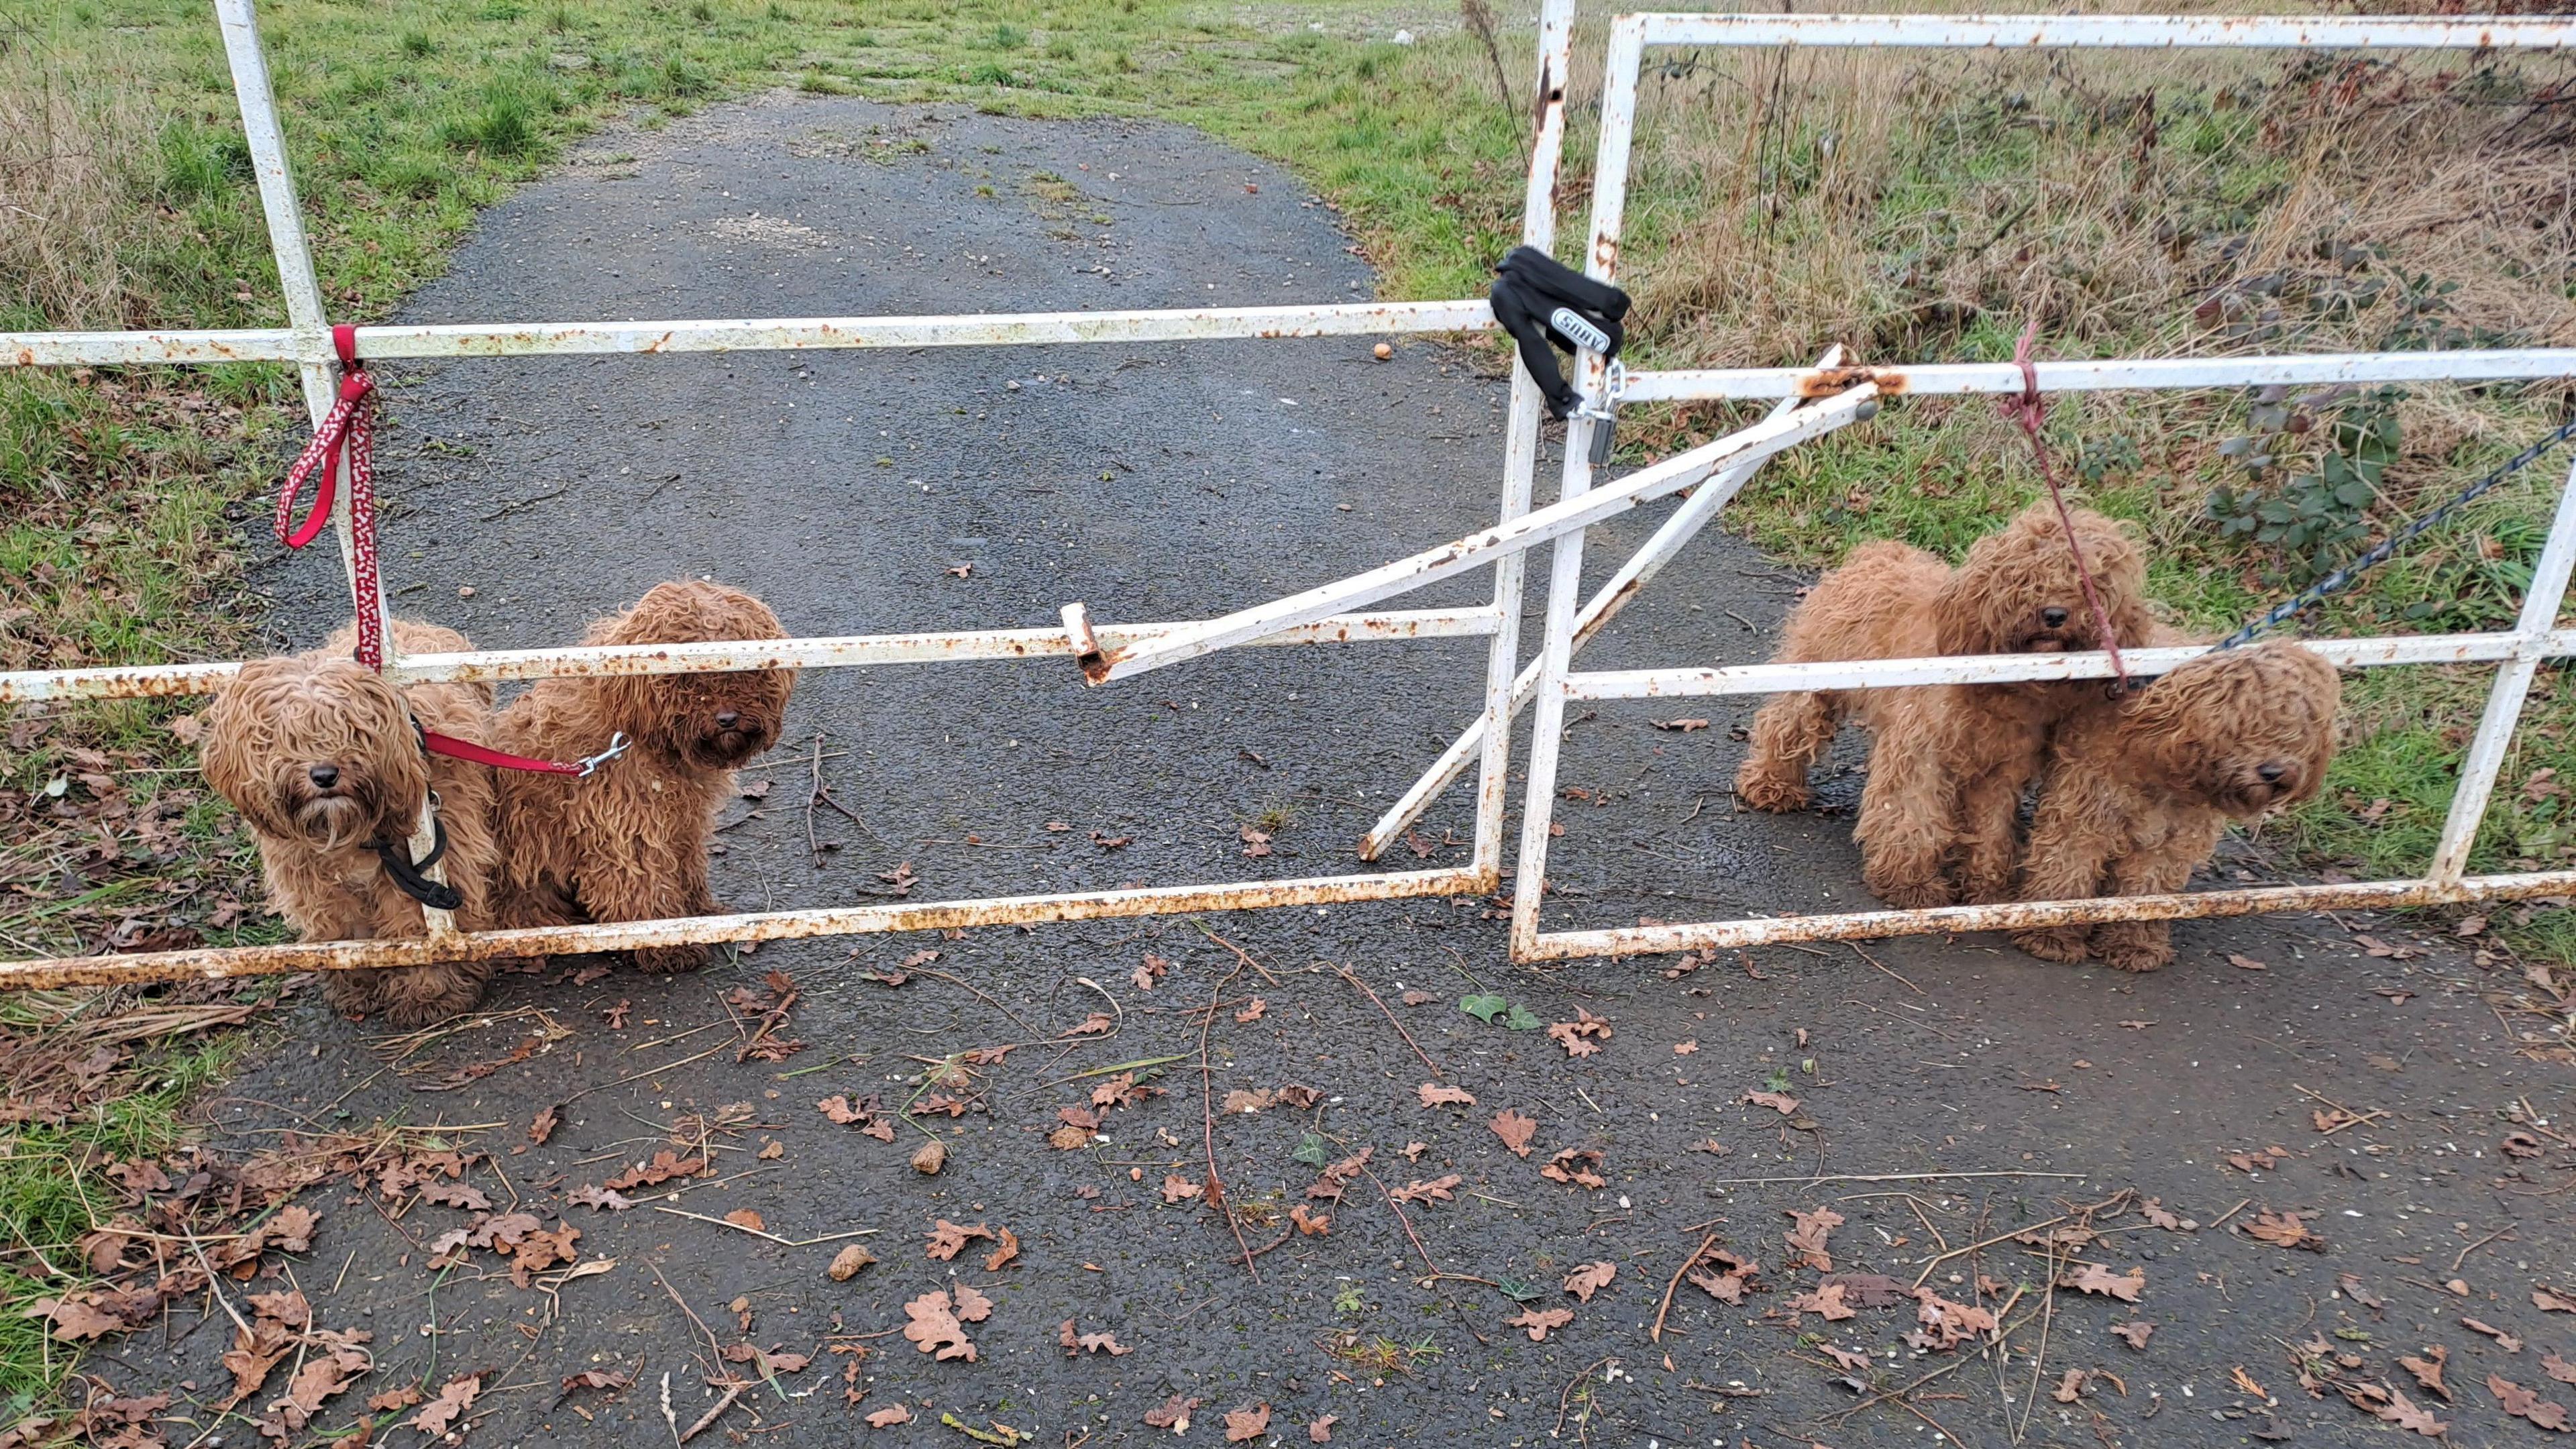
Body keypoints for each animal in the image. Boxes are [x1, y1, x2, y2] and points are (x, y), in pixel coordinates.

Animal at [201, 613, 502, 1020]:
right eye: (286, 736)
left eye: (350, 729)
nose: (324, 775)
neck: (350, 831)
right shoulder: (318, 885)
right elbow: (345, 932)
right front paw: (356, 981)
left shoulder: (425, 866)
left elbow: (414, 926)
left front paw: (429, 991)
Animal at [492, 577, 788, 969]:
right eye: (687, 678)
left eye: (739, 668)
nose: (727, 719)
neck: (633, 733)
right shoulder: (626, 828)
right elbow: (643, 885)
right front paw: (668, 943)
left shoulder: (682, 825)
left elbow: (687, 867)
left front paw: (698, 911)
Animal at [1731, 500, 2153, 902]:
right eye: (2025, 577)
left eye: (2088, 583)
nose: (2053, 614)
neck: (1997, 682)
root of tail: (1876, 551)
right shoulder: (1921, 756)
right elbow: (1911, 816)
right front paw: (1909, 883)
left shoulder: (2001, 770)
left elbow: (1991, 828)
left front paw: (1986, 887)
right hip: (1816, 674)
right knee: (1787, 722)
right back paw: (1772, 784)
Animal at [1998, 639, 2349, 969]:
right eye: (2242, 723)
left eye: (2299, 726)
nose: (2274, 772)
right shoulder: (2086, 809)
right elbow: (2066, 867)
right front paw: (2051, 932)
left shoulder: (2168, 838)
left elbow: (2146, 890)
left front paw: (2134, 943)